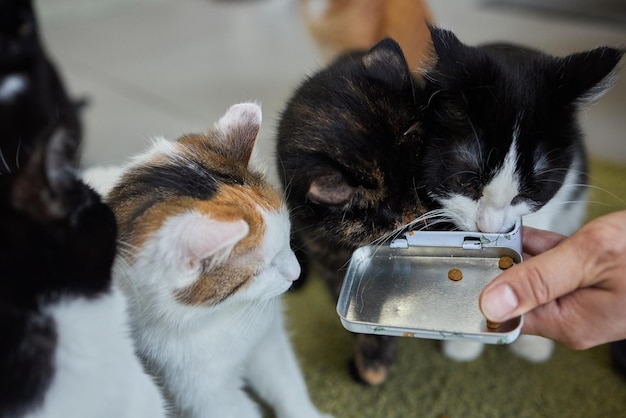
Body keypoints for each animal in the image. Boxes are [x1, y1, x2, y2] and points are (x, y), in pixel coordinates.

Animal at [85, 103, 330, 418]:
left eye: (289, 237)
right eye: (258, 271)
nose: (297, 273)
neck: (220, 315)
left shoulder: (268, 341)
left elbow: (287, 385)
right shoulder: (207, 394)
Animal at [276, 27, 620, 384]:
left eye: (530, 189)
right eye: (464, 181)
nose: (487, 229)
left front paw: (525, 341)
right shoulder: (325, 249)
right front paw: (373, 361)